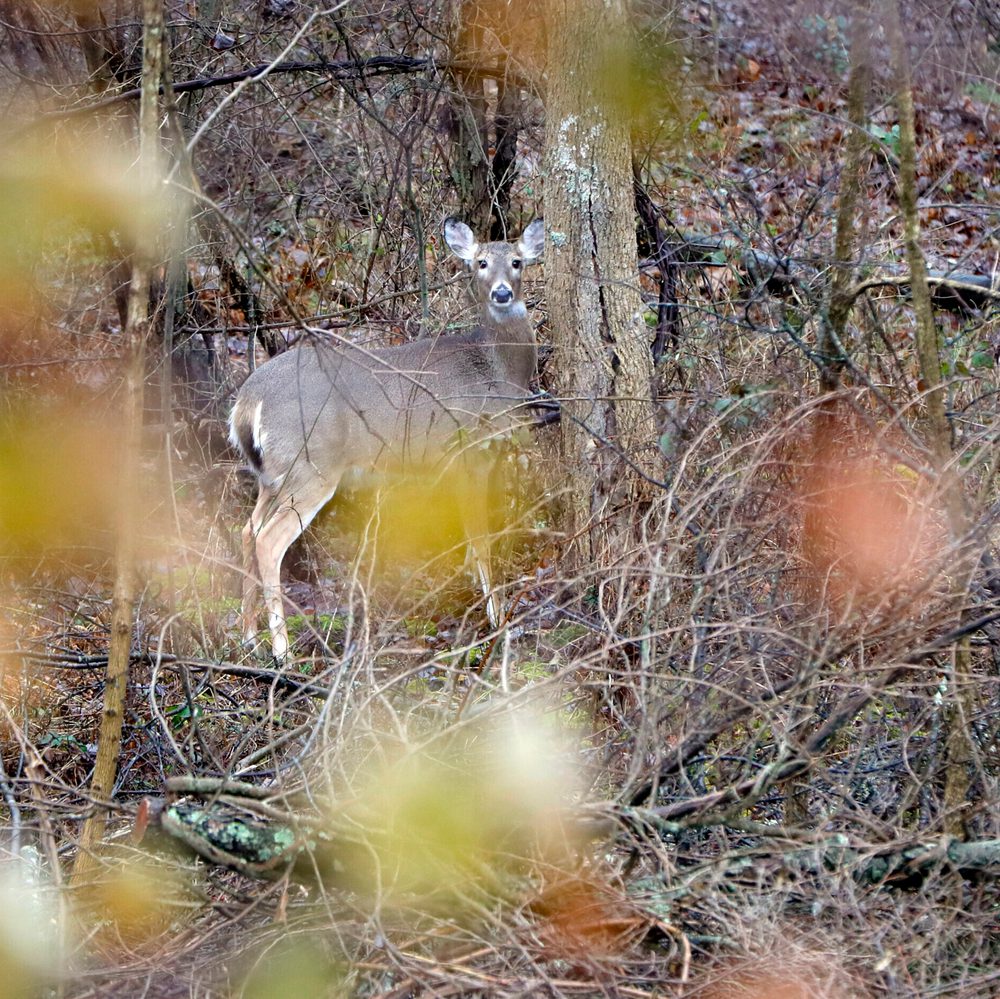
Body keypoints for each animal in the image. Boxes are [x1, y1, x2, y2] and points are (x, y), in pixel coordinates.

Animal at [230, 217, 546, 660]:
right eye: (481, 263)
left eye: (517, 261)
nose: (502, 292)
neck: (495, 369)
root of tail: (248, 400)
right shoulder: (468, 454)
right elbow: (481, 537)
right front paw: (497, 620)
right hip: (309, 466)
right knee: (269, 541)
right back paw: (282, 650)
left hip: (271, 474)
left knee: (248, 529)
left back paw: (248, 636)